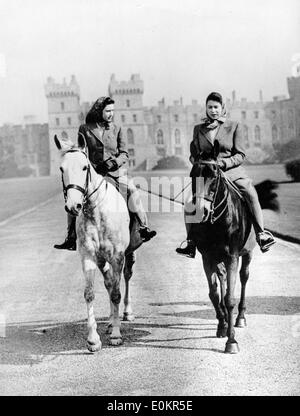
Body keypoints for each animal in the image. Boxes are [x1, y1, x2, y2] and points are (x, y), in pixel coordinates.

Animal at [54, 135, 143, 352]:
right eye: (61, 168)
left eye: (85, 167)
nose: (74, 206)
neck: (97, 211)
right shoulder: (88, 256)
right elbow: (90, 293)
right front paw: (93, 339)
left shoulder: (118, 256)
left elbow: (117, 293)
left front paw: (117, 335)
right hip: (102, 260)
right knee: (109, 282)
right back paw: (111, 321)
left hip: (129, 253)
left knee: (126, 278)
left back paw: (125, 313)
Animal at [186, 141, 278, 352]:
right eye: (193, 175)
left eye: (214, 174)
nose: (200, 211)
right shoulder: (207, 257)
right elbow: (214, 294)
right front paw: (222, 326)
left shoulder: (233, 257)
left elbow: (229, 298)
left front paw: (232, 340)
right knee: (223, 280)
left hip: (247, 253)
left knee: (243, 278)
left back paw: (240, 318)